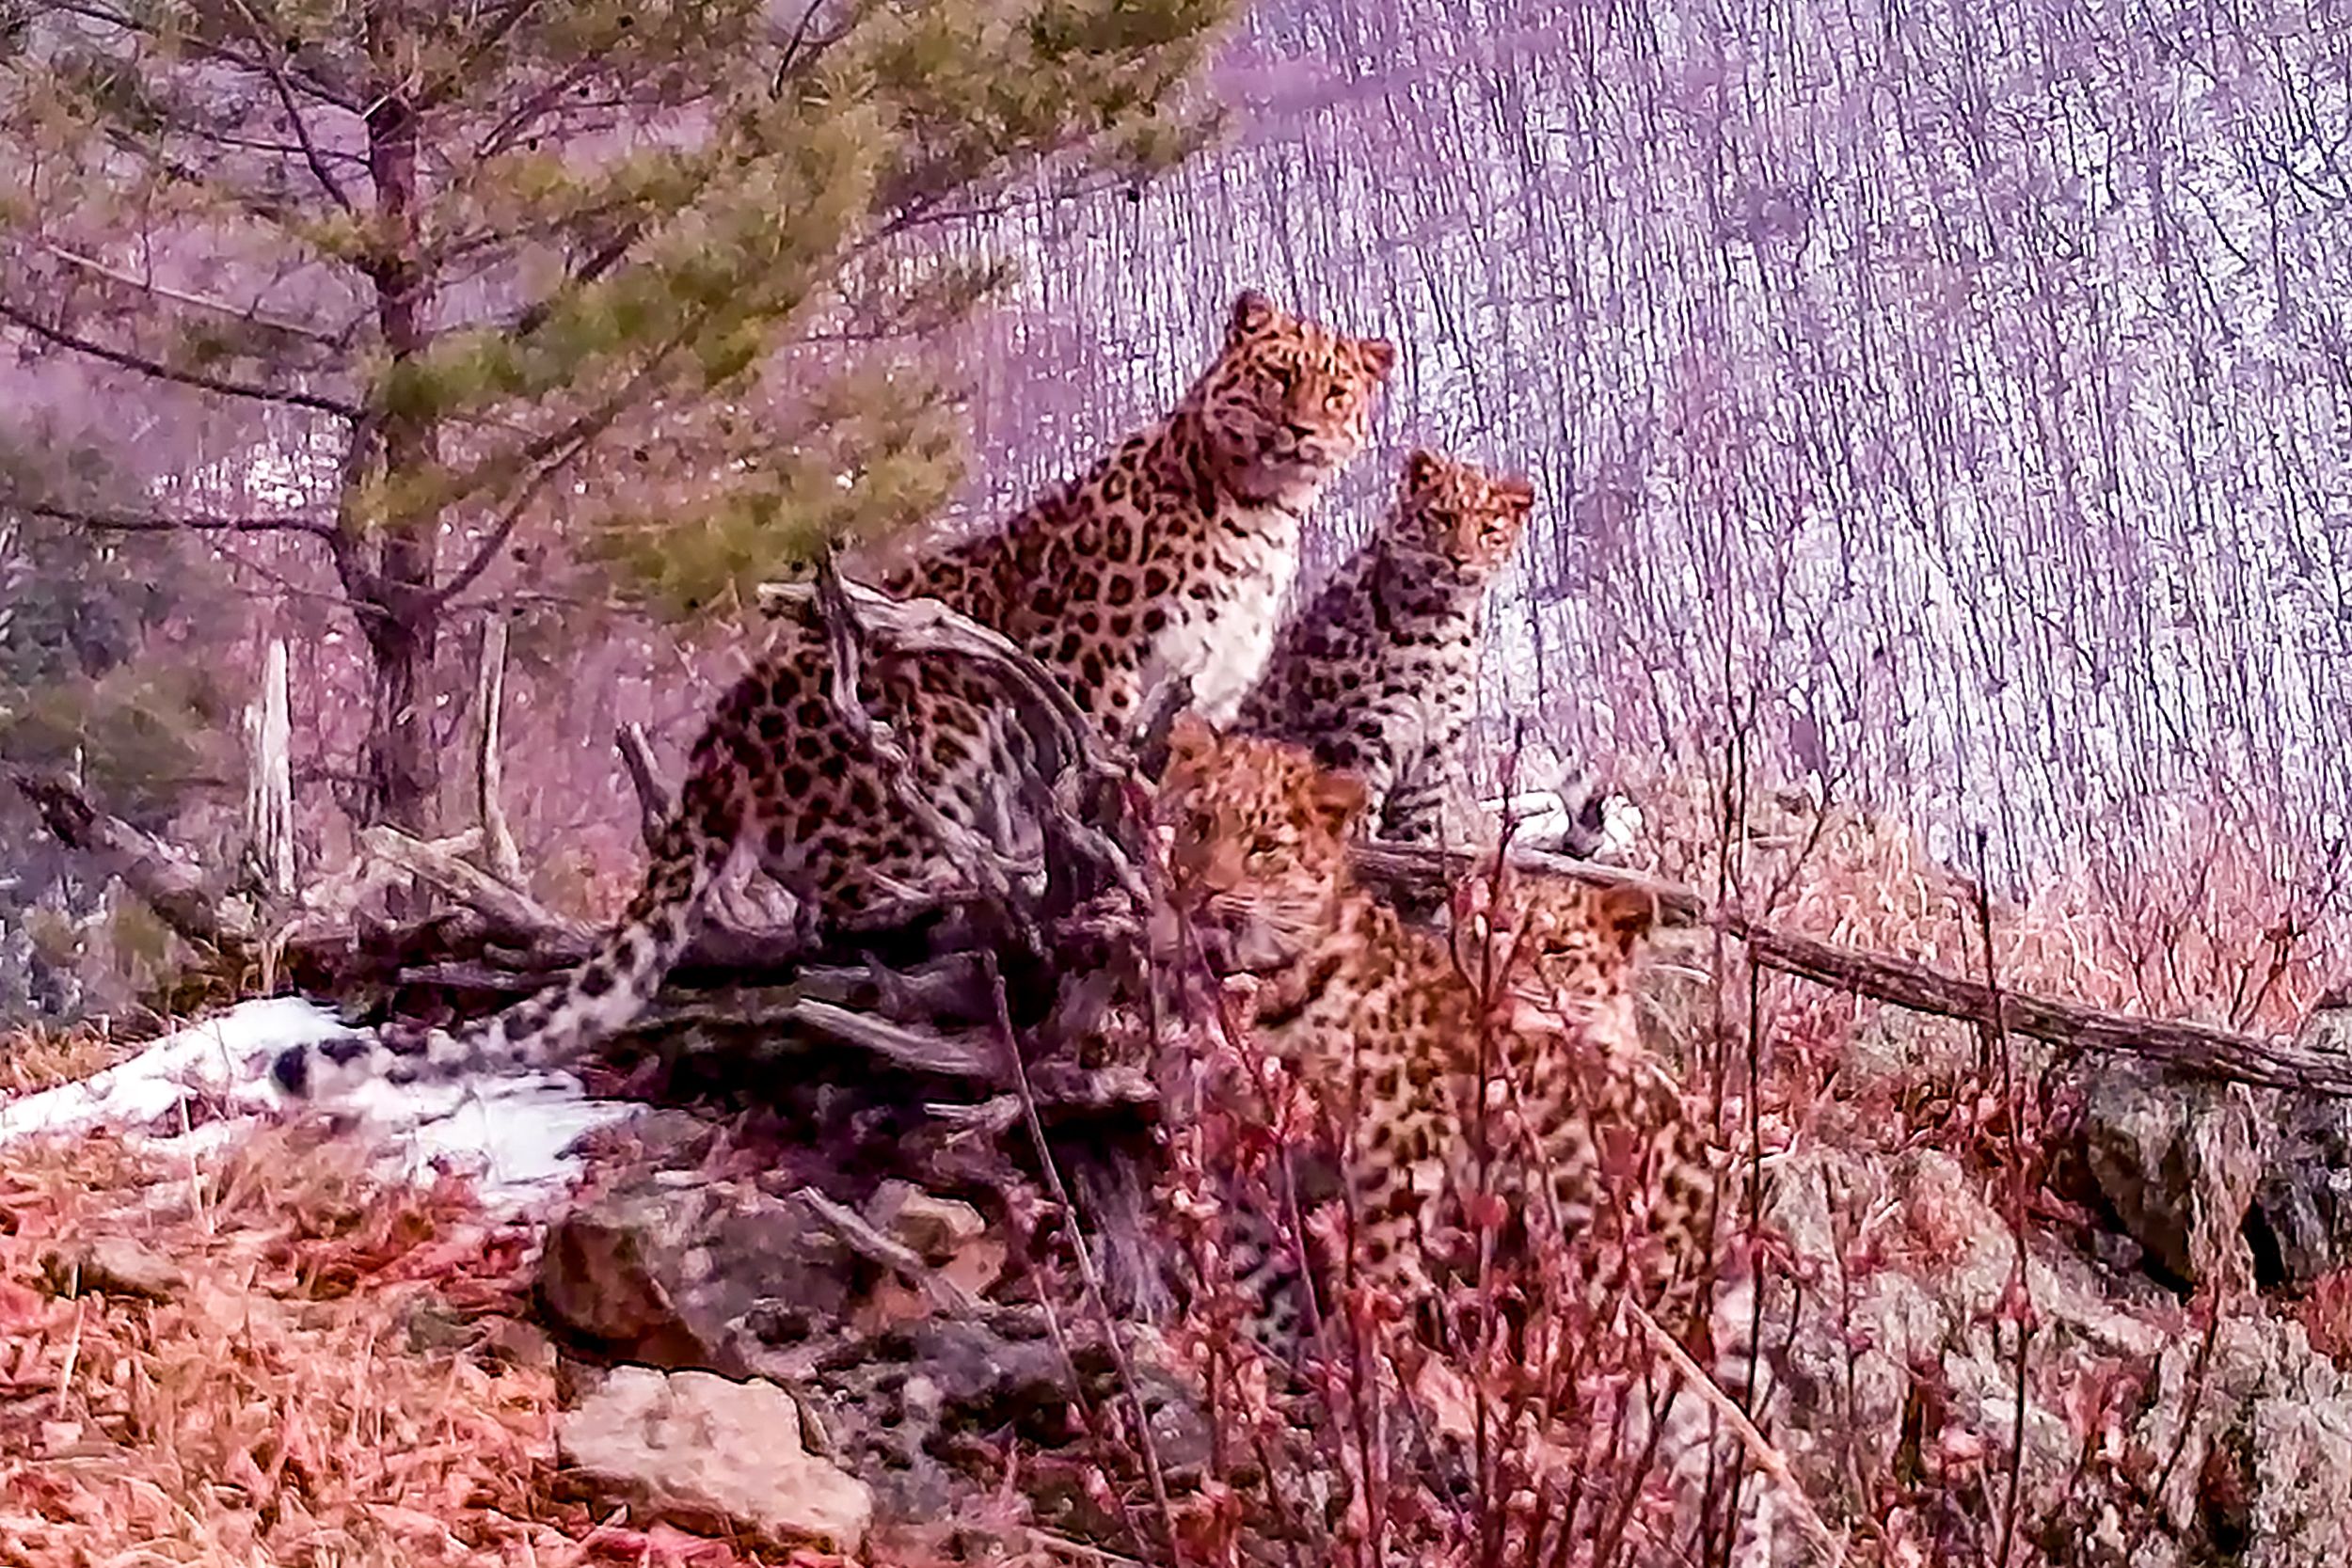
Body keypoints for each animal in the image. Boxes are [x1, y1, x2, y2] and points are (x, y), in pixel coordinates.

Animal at [270, 293, 1392, 1104]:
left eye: (1336, 392)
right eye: (1278, 377)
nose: (1302, 429)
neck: (1258, 515)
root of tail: (719, 735)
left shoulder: (1208, 698)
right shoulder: (1096, 672)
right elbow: (1096, 779)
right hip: (924, 732)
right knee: (841, 900)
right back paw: (943, 887)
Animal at [1152, 709, 1722, 1363]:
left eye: (1265, 847)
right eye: (1198, 822)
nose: (1206, 891)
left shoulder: (1395, 1145)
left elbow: (1380, 1269)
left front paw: (1376, 1366)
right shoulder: (1233, 1159)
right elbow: (1259, 1279)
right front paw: (1279, 1355)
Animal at [1232, 446, 1543, 850]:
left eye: (1489, 530)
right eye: (1443, 517)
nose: (1460, 559)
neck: (1440, 625)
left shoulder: (1434, 748)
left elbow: (1414, 827)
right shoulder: (1363, 735)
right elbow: (1358, 817)